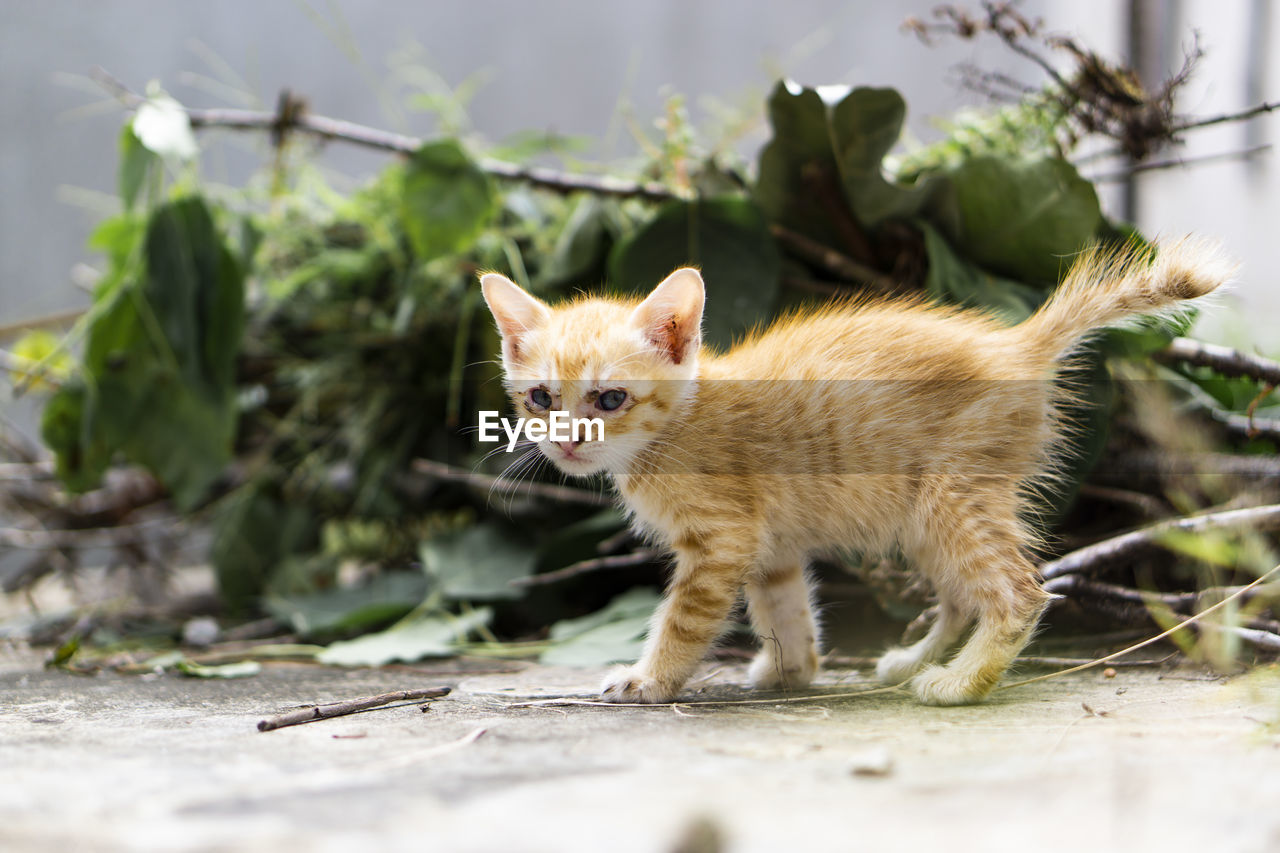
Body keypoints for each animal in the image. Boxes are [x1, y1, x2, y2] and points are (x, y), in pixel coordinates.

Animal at [481, 240, 1228, 701]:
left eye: (610, 400)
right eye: (541, 397)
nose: (567, 443)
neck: (676, 424)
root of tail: (1015, 343)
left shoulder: (722, 541)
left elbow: (683, 621)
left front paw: (649, 679)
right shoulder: (768, 546)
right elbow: (784, 607)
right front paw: (792, 668)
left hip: (950, 494)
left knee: (1017, 591)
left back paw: (961, 684)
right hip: (928, 515)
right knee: (963, 593)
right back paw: (918, 660)